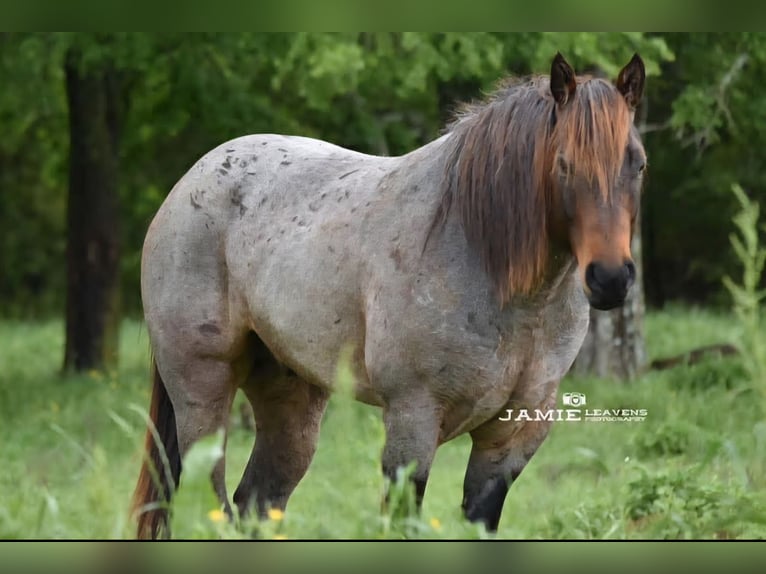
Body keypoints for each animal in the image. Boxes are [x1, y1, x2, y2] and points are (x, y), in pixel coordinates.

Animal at [131, 52, 646, 539]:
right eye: (564, 164)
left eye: (637, 163)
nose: (610, 278)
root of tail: (189, 182)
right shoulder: (412, 420)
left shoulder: (511, 438)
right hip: (203, 394)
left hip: (291, 398)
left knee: (254, 503)